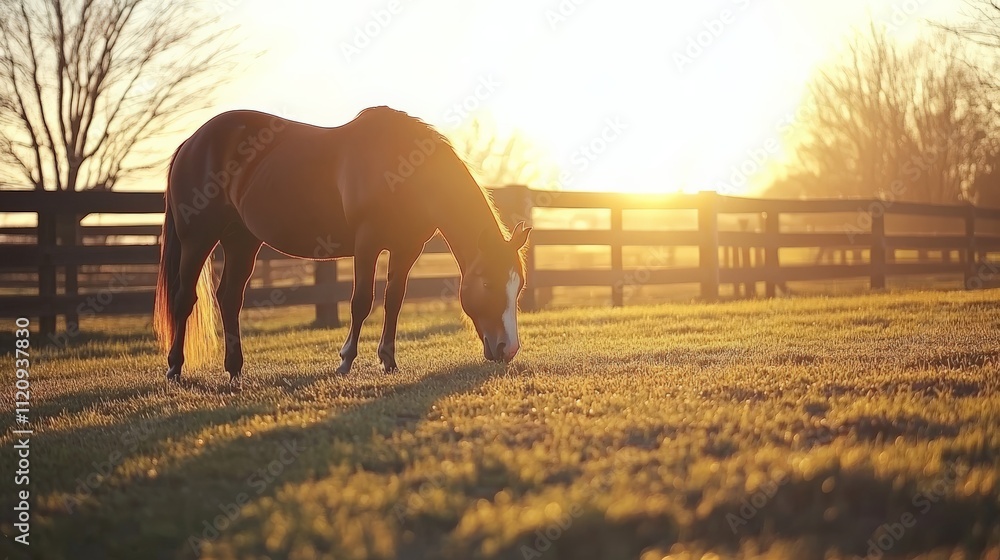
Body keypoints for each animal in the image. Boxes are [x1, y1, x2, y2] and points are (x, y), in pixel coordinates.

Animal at [153, 106, 531, 383]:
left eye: (519, 287)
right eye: (487, 283)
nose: (508, 349)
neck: (405, 168)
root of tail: (192, 141)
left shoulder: (406, 249)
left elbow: (394, 301)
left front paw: (388, 360)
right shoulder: (367, 243)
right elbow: (361, 301)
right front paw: (346, 360)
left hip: (241, 239)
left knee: (230, 298)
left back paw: (234, 369)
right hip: (197, 238)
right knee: (184, 298)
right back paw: (174, 368)